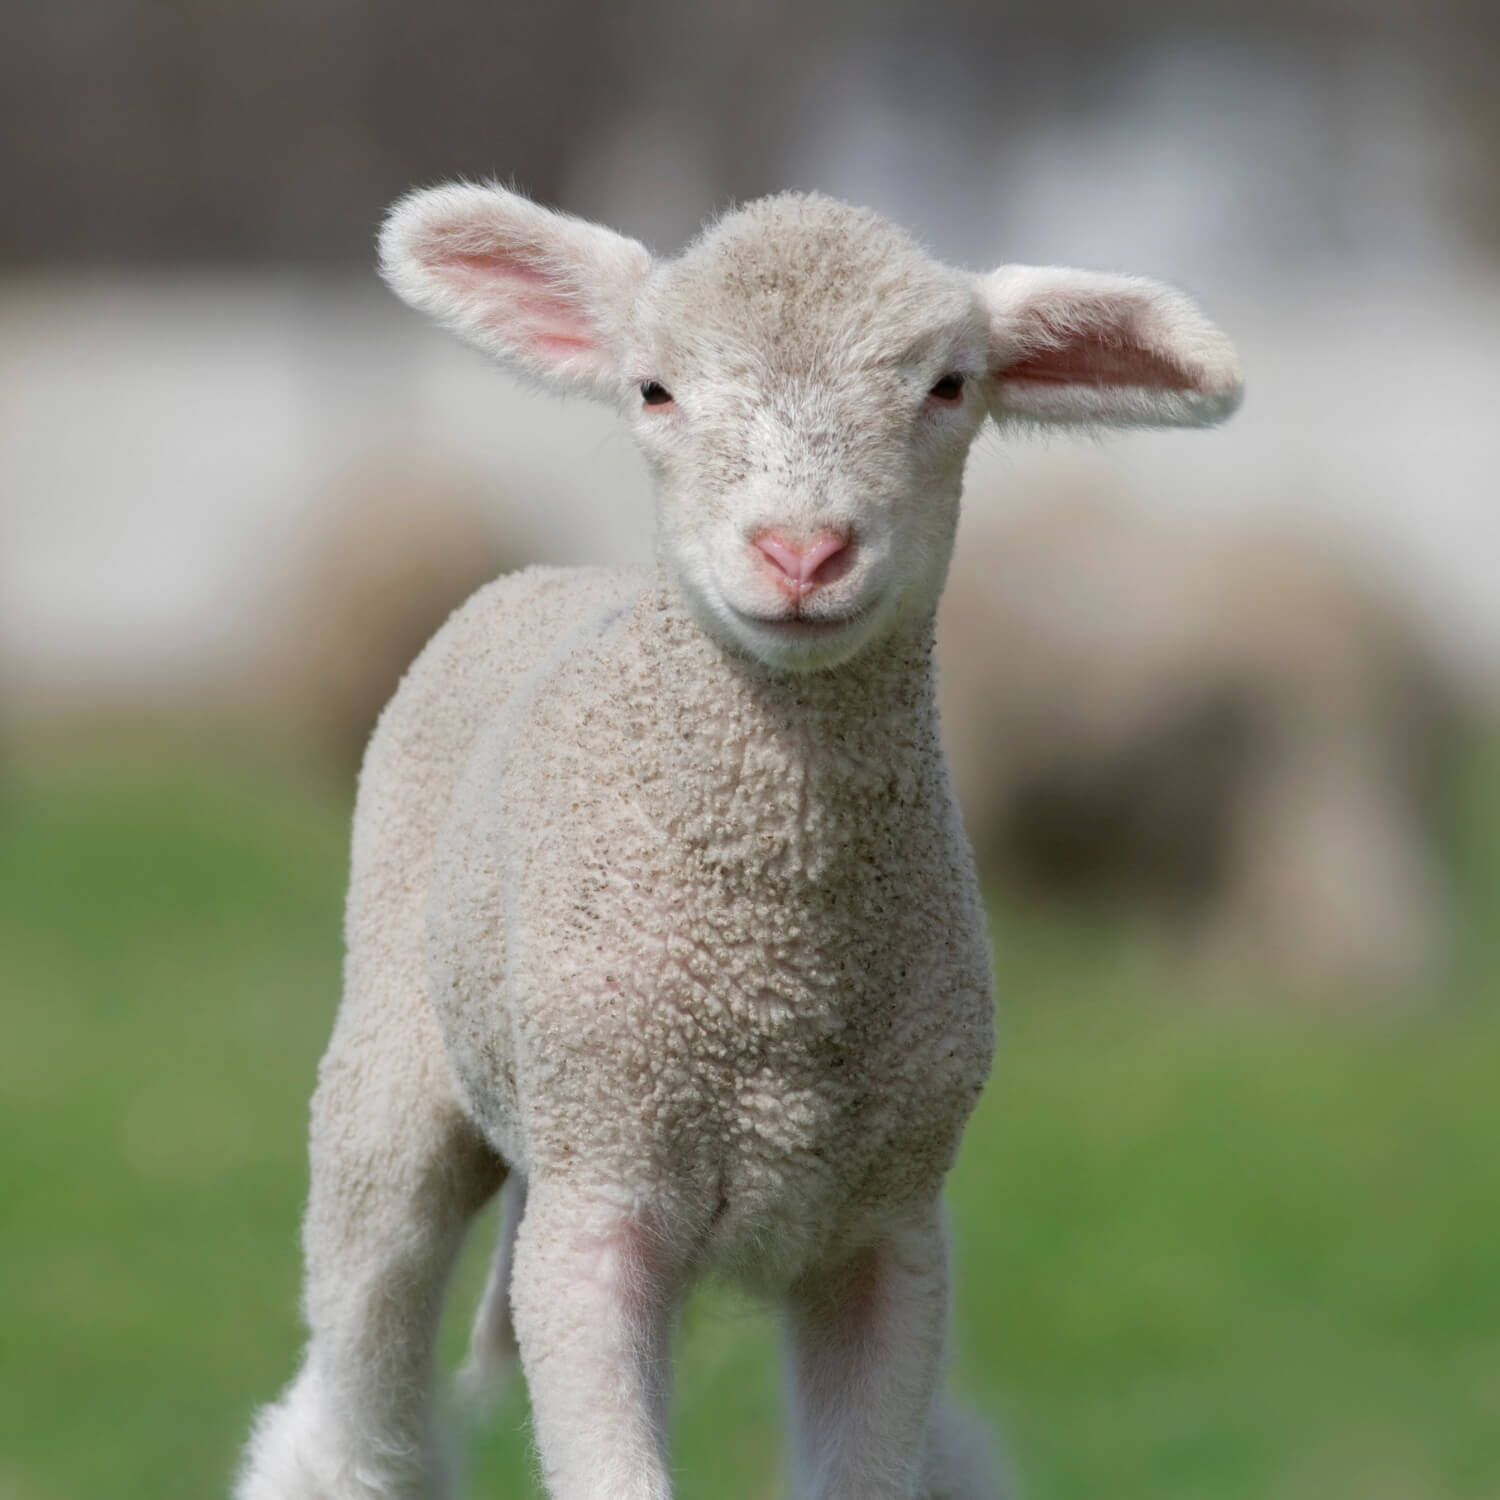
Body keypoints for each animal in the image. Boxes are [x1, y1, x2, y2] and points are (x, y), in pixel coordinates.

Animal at [235, 182, 1241, 1500]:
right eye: (656, 389)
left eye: (948, 386)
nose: (802, 553)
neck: (776, 987)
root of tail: (562, 577)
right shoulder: (598, 1198)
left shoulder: (887, 1231)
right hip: (395, 1070)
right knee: (355, 1393)